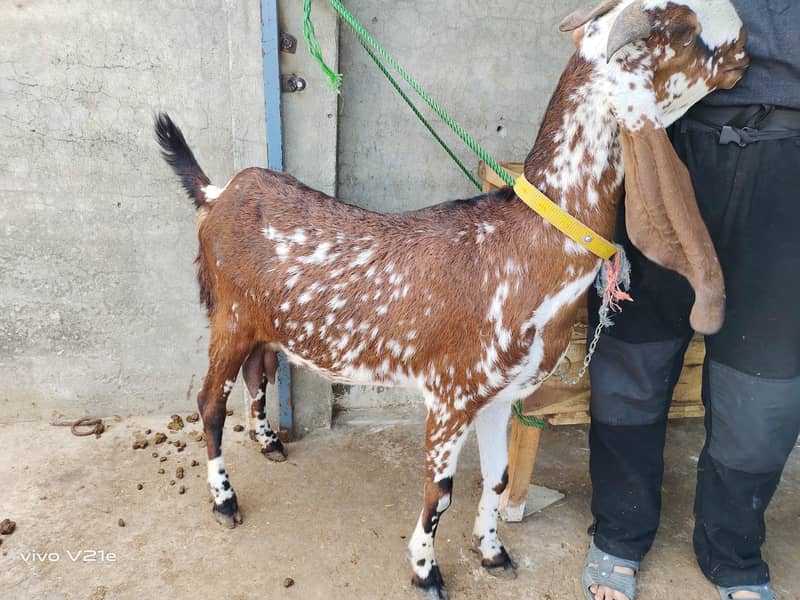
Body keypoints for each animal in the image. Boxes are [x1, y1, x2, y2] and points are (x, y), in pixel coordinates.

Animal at [156, 1, 747, 597]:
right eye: (687, 35)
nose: (746, 44)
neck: (525, 244)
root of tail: (219, 193)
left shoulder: (502, 394)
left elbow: (498, 477)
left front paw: (492, 550)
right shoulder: (451, 393)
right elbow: (440, 493)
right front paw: (425, 569)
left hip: (264, 323)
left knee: (259, 373)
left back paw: (269, 441)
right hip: (229, 317)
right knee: (209, 403)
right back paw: (224, 500)